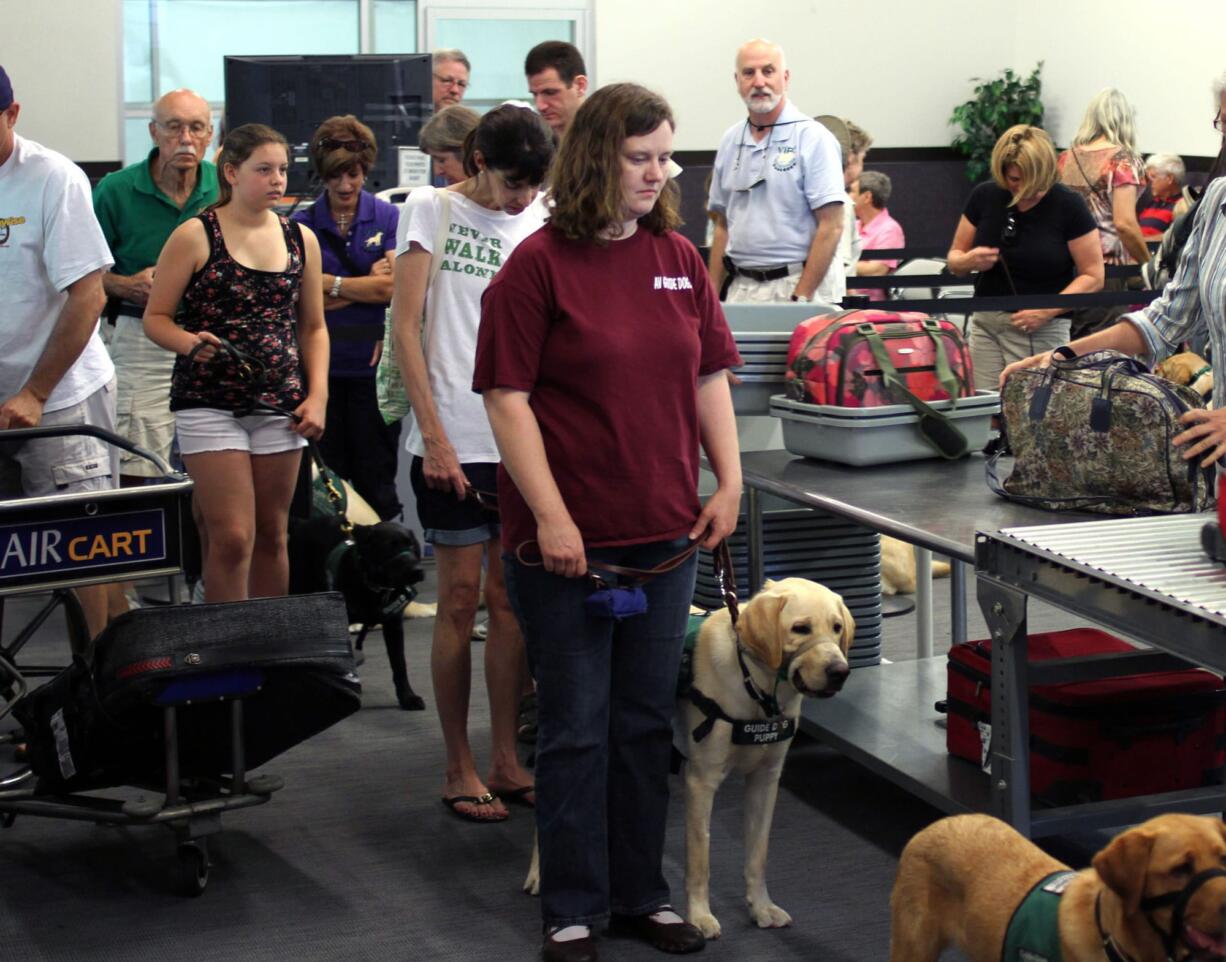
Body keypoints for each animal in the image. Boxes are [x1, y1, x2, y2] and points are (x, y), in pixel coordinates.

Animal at [286, 514, 426, 710]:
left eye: (411, 545)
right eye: (389, 547)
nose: (417, 571)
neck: (374, 587)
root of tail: (302, 522)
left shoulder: (394, 625)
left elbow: (399, 664)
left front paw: (407, 697)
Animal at [686, 578, 848, 936]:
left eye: (837, 627)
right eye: (800, 628)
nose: (840, 671)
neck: (757, 688)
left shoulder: (765, 780)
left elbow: (758, 854)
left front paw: (761, 907)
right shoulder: (701, 782)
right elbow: (700, 857)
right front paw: (698, 915)